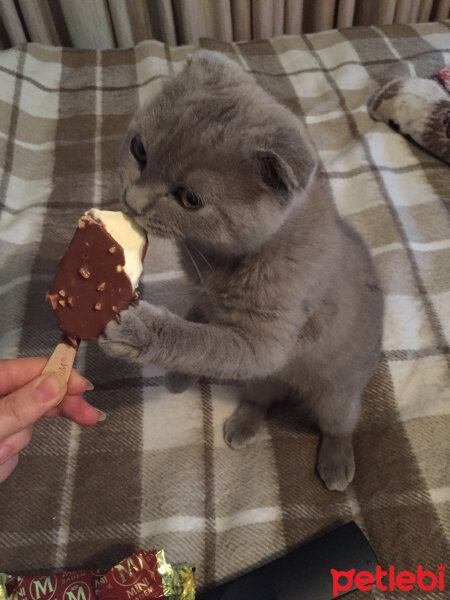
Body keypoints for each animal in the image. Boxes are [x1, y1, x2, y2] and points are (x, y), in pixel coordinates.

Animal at [100, 50, 384, 492]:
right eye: (139, 149)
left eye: (190, 199)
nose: (133, 201)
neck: (215, 258)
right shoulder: (202, 298)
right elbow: (200, 323)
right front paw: (178, 375)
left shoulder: (268, 340)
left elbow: (206, 343)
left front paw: (141, 332)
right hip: (267, 381)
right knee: (259, 395)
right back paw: (242, 425)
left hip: (338, 392)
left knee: (339, 423)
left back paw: (336, 464)